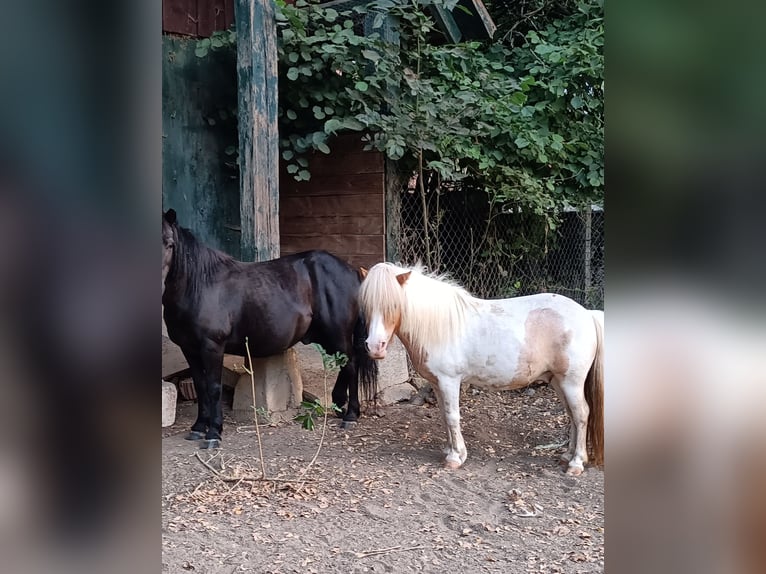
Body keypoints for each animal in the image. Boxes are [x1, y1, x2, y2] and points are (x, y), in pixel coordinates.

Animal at [164, 209, 380, 448]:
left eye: (170, 244)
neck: (201, 287)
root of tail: (352, 271)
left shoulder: (212, 347)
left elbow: (213, 387)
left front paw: (213, 433)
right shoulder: (189, 349)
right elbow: (201, 386)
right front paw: (198, 427)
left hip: (338, 334)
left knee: (351, 364)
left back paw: (350, 414)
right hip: (327, 337)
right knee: (346, 364)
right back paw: (339, 404)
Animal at [360, 266, 608, 476]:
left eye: (393, 305)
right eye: (367, 306)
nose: (375, 347)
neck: (439, 325)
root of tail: (587, 313)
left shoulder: (450, 381)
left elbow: (452, 416)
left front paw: (456, 458)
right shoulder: (437, 384)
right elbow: (444, 416)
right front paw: (450, 450)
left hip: (571, 382)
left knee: (581, 414)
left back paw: (576, 463)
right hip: (558, 382)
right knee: (572, 415)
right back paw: (567, 456)